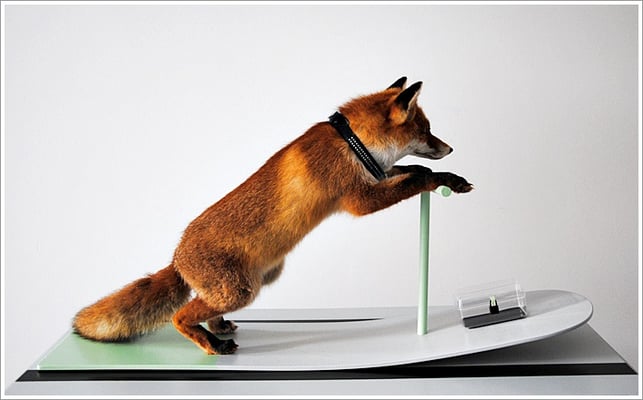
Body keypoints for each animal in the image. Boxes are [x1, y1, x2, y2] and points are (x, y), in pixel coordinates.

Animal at [73, 77, 473, 355]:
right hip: (241, 290)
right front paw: (437, 177)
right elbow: (416, 178)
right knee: (179, 316)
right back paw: (211, 345)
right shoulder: (359, 199)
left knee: (202, 308)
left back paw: (217, 328)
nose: (451, 148)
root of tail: (176, 257)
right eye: (426, 130)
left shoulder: (377, 175)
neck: (353, 143)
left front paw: (449, 177)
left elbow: (412, 170)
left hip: (254, 282)